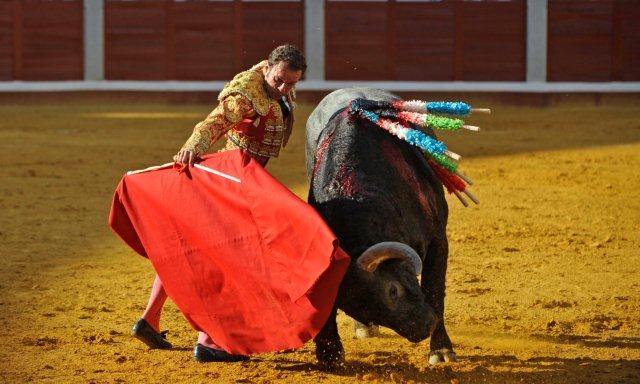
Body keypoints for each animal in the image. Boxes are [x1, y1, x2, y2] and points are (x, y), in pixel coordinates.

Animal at [304, 88, 456, 366]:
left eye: (393, 290)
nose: (423, 327)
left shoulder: (438, 240)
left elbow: (434, 290)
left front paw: (441, 350)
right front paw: (330, 353)